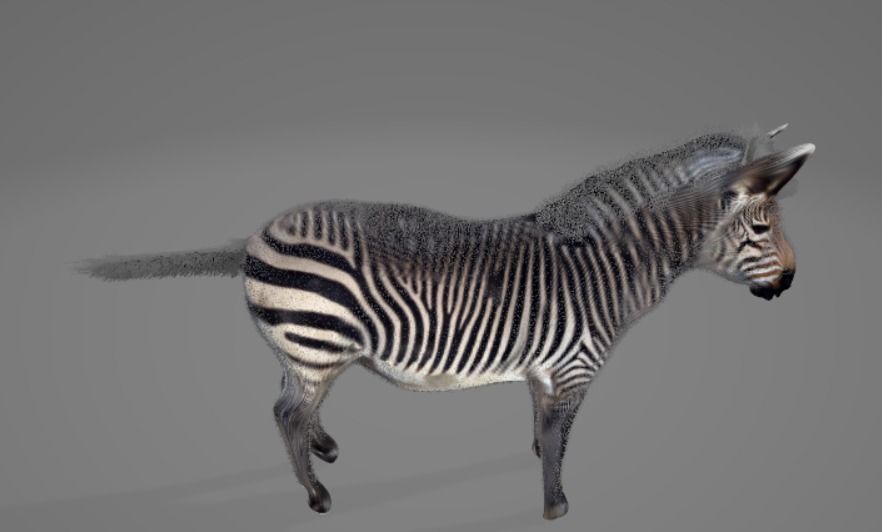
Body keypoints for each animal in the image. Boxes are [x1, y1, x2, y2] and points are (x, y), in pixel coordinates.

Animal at [72, 125, 814, 520]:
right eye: (760, 225)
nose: (790, 282)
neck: (604, 263)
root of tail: (255, 235)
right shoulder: (574, 367)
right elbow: (561, 434)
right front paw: (555, 506)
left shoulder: (545, 369)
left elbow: (544, 427)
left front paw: (542, 466)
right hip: (316, 342)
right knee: (285, 413)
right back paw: (317, 494)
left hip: (308, 348)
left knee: (292, 404)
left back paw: (324, 447)